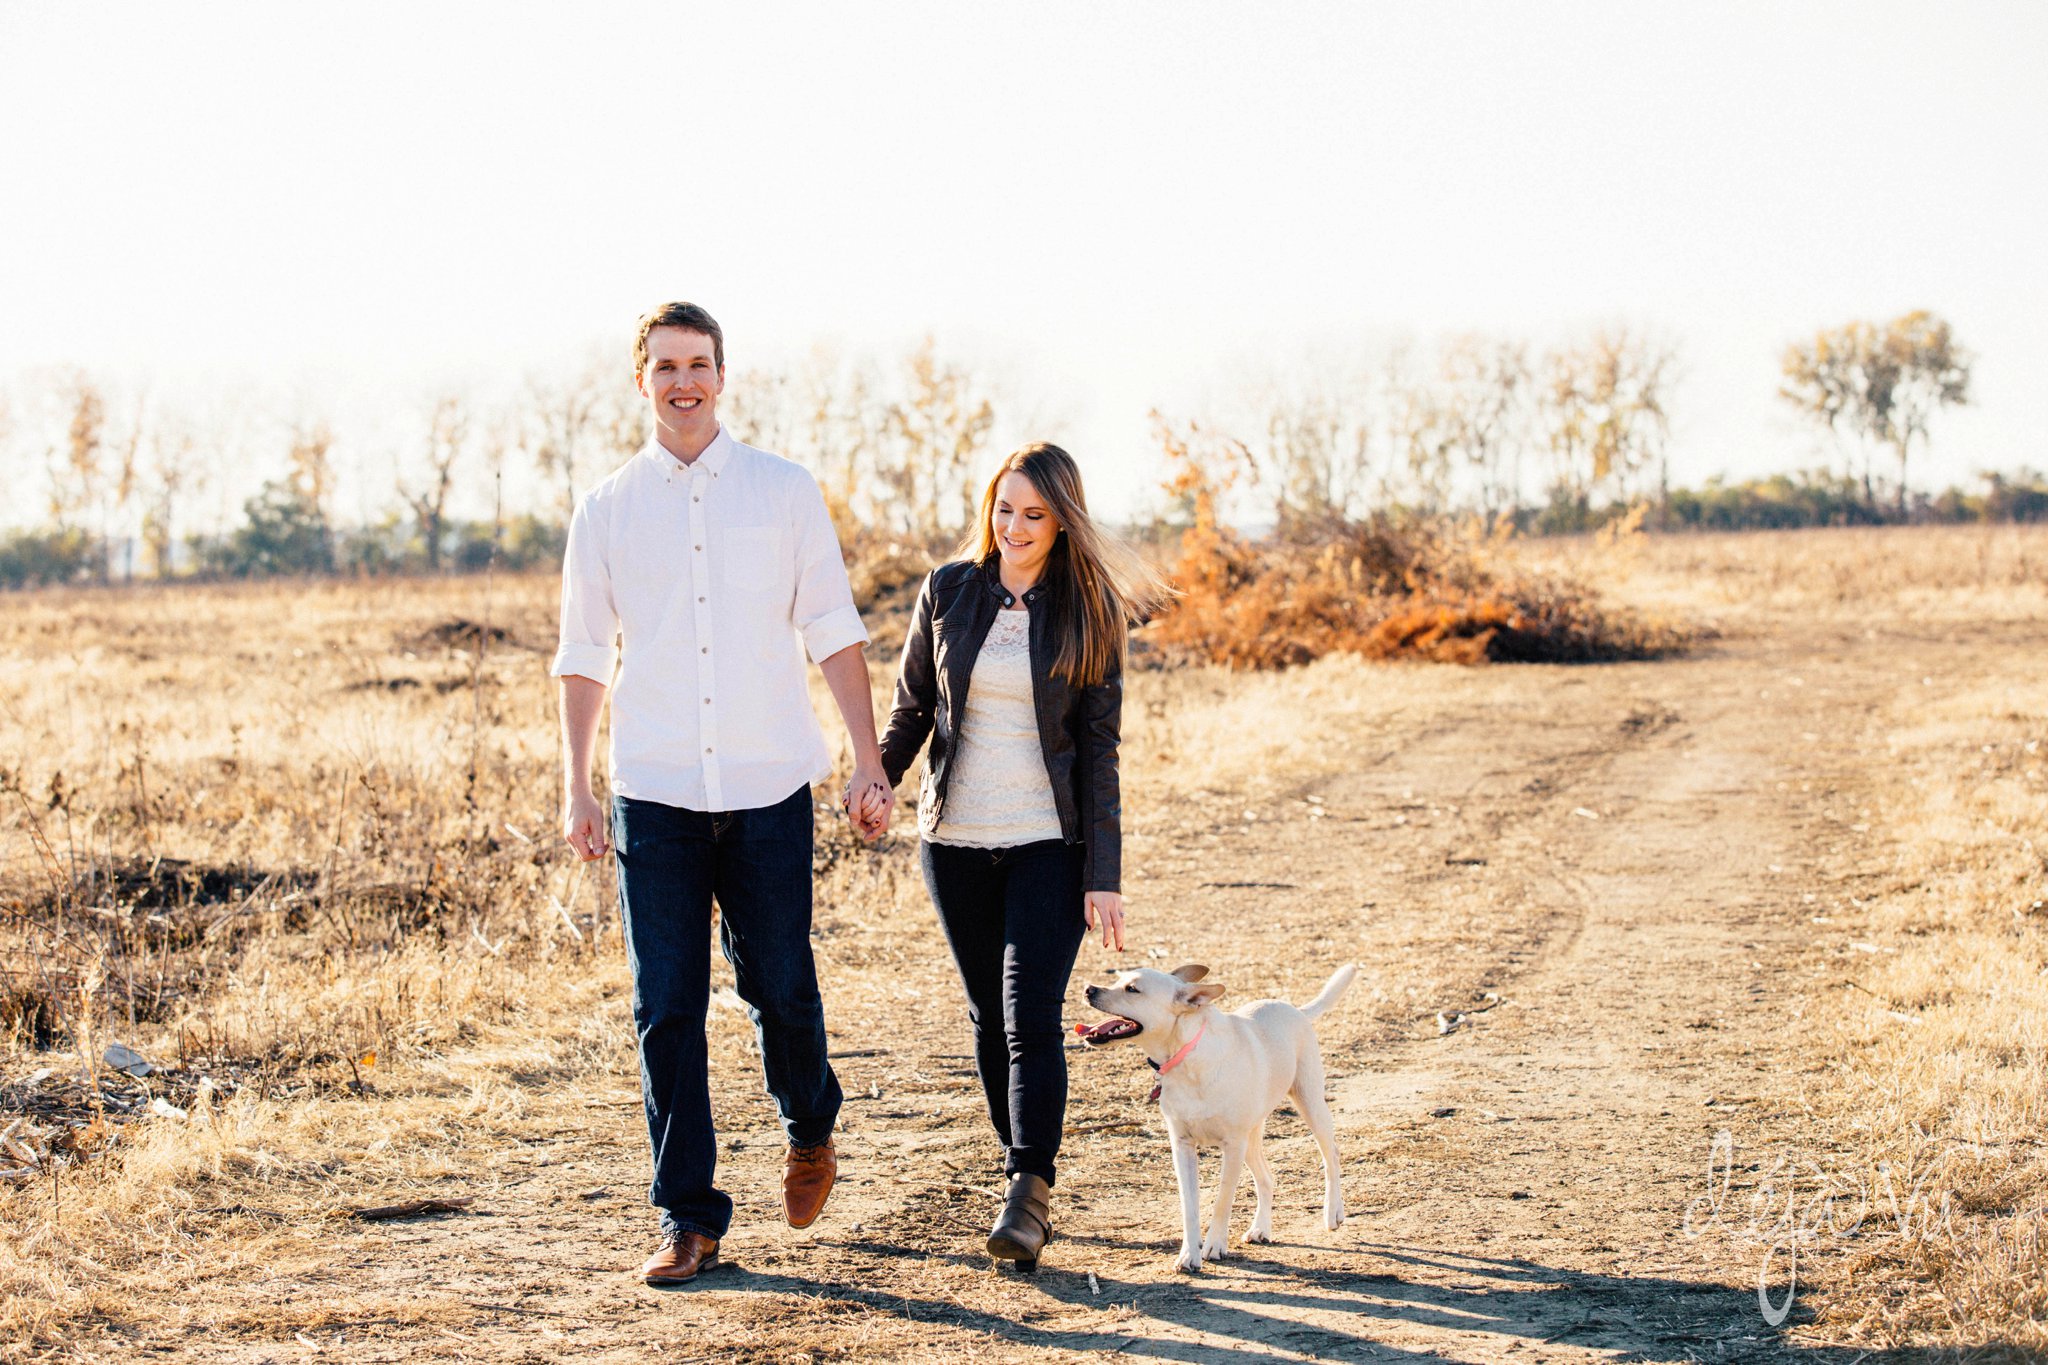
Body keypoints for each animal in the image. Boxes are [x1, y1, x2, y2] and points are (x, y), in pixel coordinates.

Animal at [1081, 961, 1351, 1268]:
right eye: (1120, 980)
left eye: (1132, 989)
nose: (1089, 989)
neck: (1187, 1058)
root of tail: (1295, 1009)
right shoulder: (1182, 1146)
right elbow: (1189, 1205)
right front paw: (1189, 1253)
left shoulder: (1232, 1146)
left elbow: (1223, 1199)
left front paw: (1215, 1246)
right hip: (1251, 1138)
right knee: (1267, 1178)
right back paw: (1260, 1228)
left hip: (1310, 1104)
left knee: (1331, 1157)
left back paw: (1333, 1212)